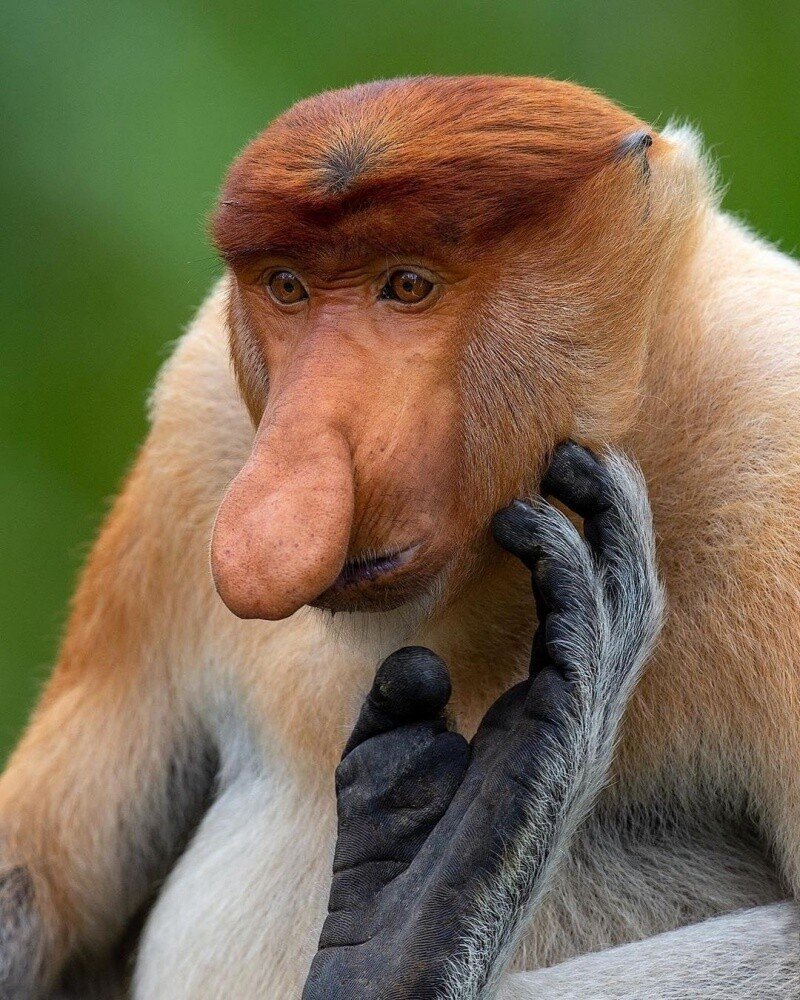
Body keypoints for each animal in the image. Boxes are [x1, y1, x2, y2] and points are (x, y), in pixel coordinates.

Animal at [1, 74, 800, 998]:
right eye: (288, 287)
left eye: (407, 285)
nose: (293, 474)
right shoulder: (201, 422)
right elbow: (36, 880)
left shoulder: (778, 454)